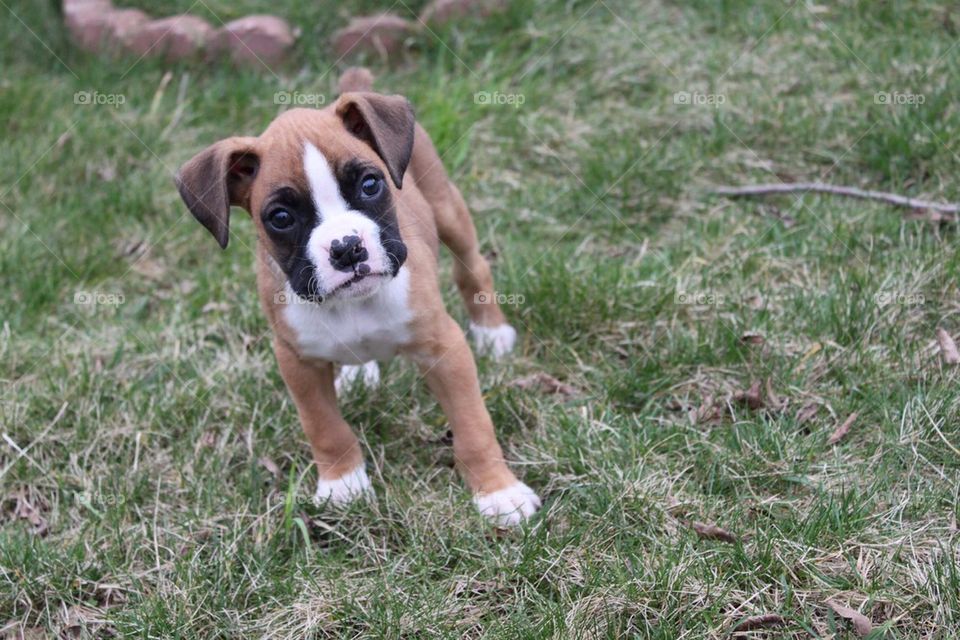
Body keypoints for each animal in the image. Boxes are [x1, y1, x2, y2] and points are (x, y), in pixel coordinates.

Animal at [174, 67, 540, 524]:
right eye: (281, 217)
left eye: (370, 184)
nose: (347, 248)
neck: (353, 305)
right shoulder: (297, 362)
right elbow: (324, 427)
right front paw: (342, 484)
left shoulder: (444, 349)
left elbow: (473, 426)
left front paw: (498, 492)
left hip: (448, 210)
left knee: (473, 268)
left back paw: (491, 332)